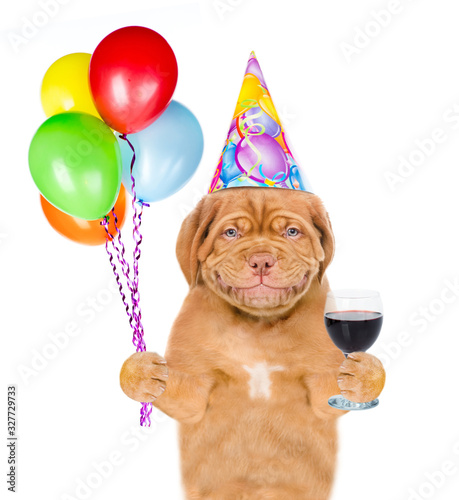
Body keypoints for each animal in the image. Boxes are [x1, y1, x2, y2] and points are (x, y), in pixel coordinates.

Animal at [120, 188, 386, 500]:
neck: (259, 325)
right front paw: (142, 373)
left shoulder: (322, 384)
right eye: (231, 232)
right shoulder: (194, 390)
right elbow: (179, 393)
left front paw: (365, 374)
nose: (262, 260)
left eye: (292, 231)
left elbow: (334, 392)